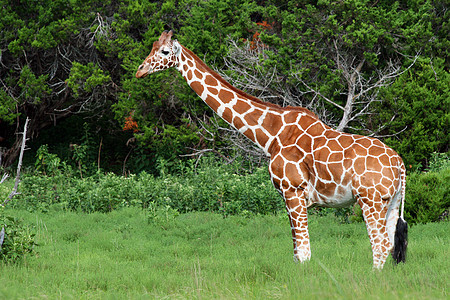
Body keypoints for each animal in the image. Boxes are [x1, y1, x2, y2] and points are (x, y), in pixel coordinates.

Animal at [135, 31, 406, 270]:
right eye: (152, 47)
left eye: (164, 51)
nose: (140, 70)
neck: (271, 135)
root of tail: (400, 165)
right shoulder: (289, 196)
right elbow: (296, 252)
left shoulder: (293, 190)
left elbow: (304, 253)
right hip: (391, 201)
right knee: (391, 244)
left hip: (370, 199)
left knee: (380, 245)